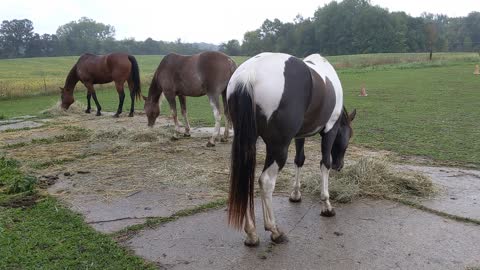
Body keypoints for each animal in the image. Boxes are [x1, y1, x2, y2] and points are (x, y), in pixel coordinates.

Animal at [227, 52, 354, 247]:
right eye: (349, 136)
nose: (340, 166)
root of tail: (249, 74)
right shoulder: (330, 130)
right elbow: (324, 163)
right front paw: (326, 206)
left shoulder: (300, 135)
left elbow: (299, 160)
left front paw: (295, 194)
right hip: (278, 147)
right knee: (266, 181)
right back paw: (274, 231)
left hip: (247, 141)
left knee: (246, 179)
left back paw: (251, 234)